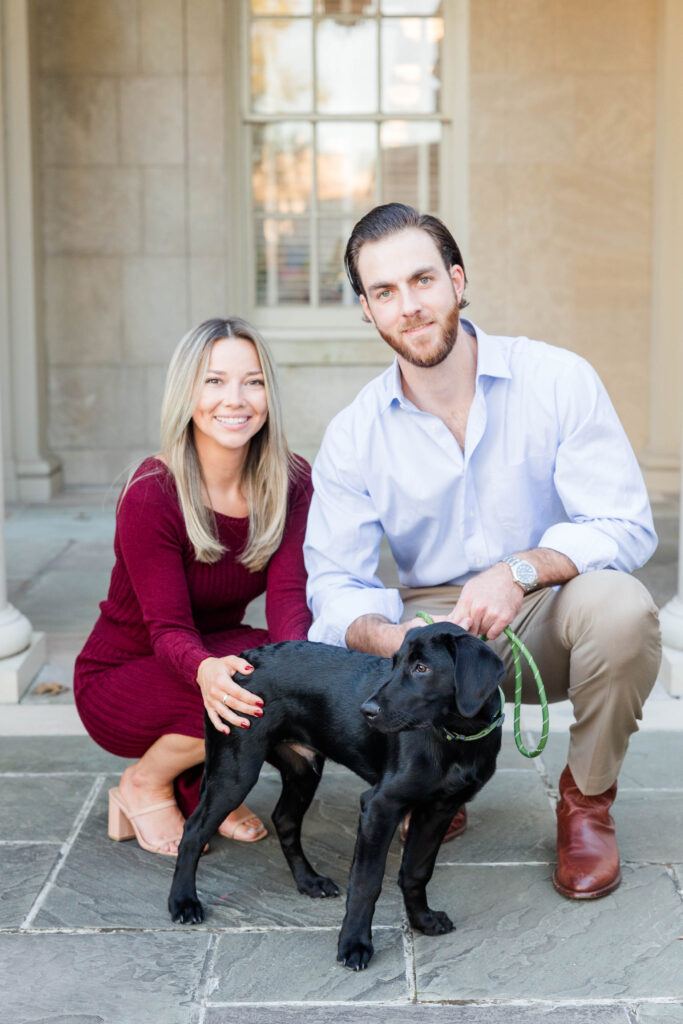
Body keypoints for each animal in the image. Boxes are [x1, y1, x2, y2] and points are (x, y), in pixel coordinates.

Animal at [167, 622, 505, 966]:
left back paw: (309, 882)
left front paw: (423, 921)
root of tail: (243, 658)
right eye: (394, 663)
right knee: (193, 831)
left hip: (302, 770)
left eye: (422, 668)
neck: (456, 738)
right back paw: (183, 902)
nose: (366, 711)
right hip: (236, 771)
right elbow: (367, 882)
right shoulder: (379, 806)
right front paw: (354, 944)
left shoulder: (439, 810)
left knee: (284, 819)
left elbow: (416, 871)